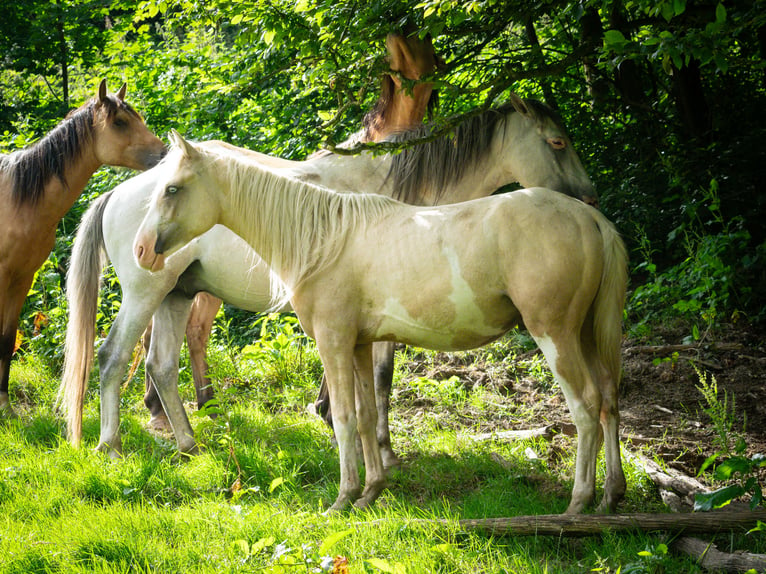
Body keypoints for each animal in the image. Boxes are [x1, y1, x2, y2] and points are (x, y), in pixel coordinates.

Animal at [0, 79, 166, 416]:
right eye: (119, 122)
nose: (164, 153)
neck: (17, 200)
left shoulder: (22, 277)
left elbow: (6, 340)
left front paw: (5, 406)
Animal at [63, 95, 596, 464]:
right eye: (557, 142)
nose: (588, 200)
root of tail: (115, 193)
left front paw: (347, 427)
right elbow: (380, 378)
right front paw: (381, 448)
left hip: (177, 294)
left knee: (160, 365)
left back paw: (189, 444)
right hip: (146, 295)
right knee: (112, 358)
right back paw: (111, 445)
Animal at [136, 133, 632, 516]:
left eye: (173, 189)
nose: (142, 250)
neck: (321, 239)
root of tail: (589, 217)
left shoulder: (334, 343)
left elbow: (344, 417)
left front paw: (343, 498)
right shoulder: (359, 345)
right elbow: (368, 414)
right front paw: (370, 493)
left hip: (556, 335)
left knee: (586, 406)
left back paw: (578, 503)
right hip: (586, 335)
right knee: (609, 401)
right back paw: (611, 496)